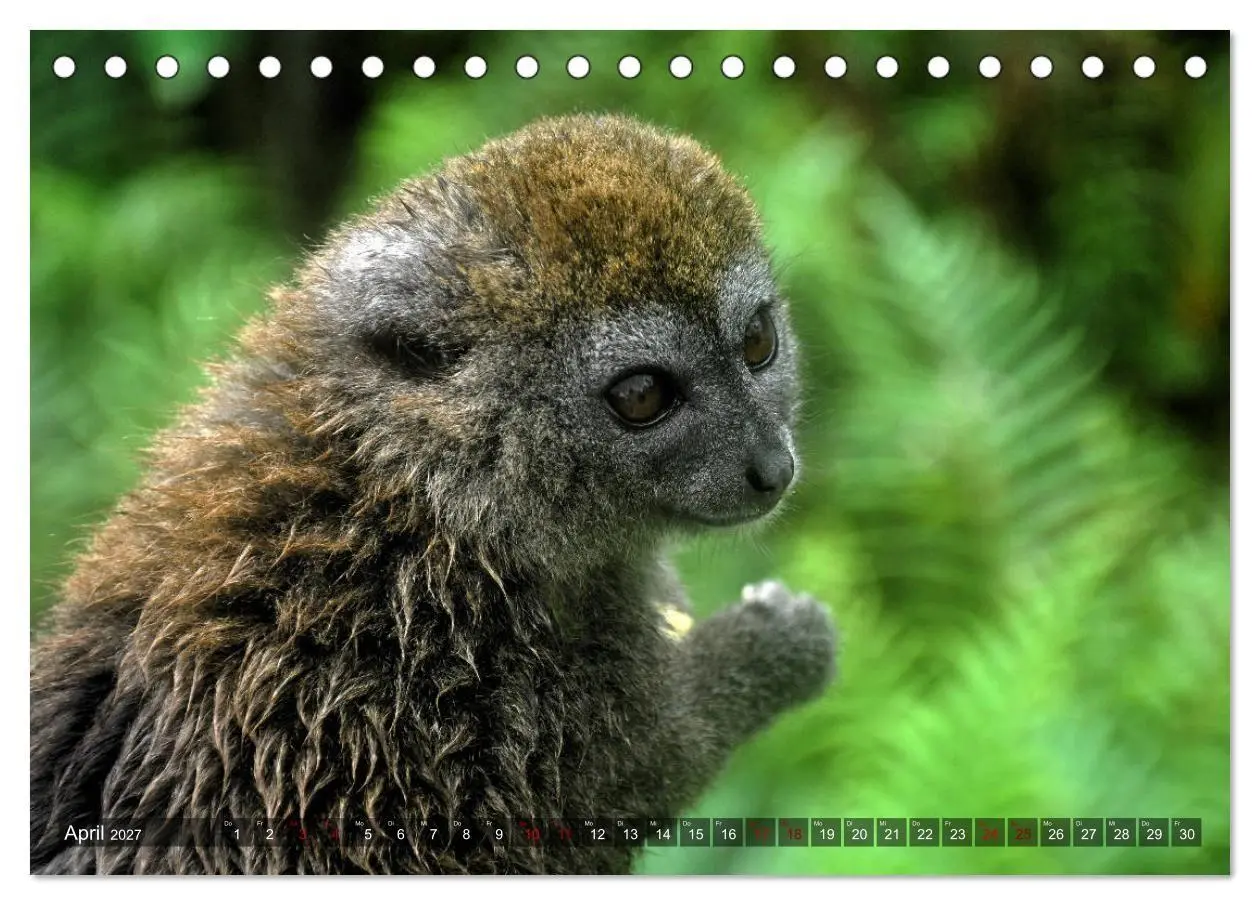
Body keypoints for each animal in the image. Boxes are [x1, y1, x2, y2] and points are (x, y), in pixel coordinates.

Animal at [29, 113, 839, 875]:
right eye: (642, 396)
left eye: (759, 343)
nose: (772, 467)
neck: (412, 486)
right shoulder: (464, 671)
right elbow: (648, 767)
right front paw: (774, 642)